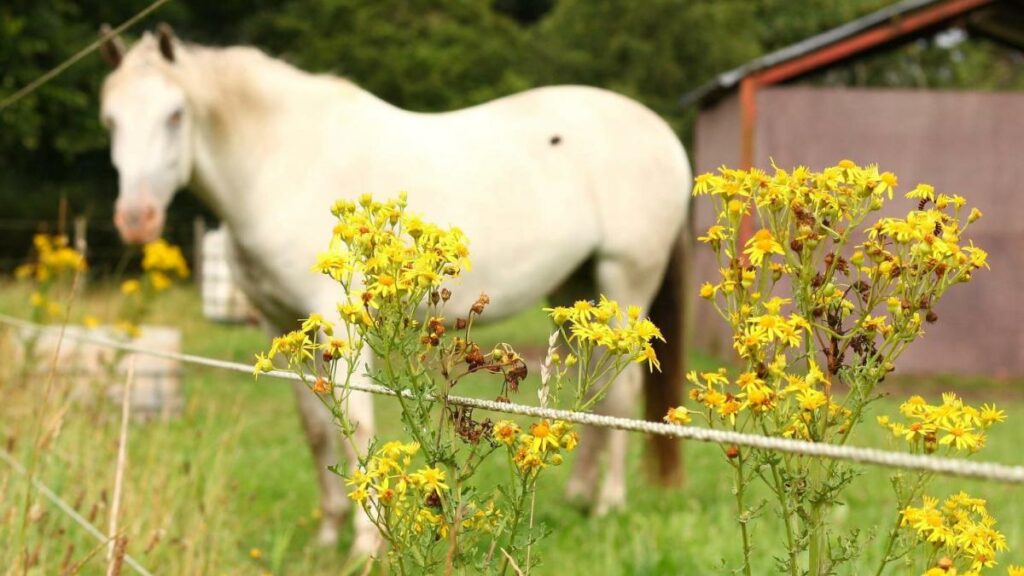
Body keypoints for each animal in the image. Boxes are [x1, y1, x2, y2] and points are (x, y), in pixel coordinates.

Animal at [99, 28, 692, 557]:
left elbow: (357, 427)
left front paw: (367, 543)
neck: (282, 160)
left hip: (624, 280)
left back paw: (608, 504)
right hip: (579, 296)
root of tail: (664, 135)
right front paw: (329, 533)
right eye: (111, 119)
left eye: (175, 114)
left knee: (621, 394)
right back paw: (576, 495)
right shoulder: (282, 325)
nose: (135, 219)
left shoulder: (336, 323)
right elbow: (317, 431)